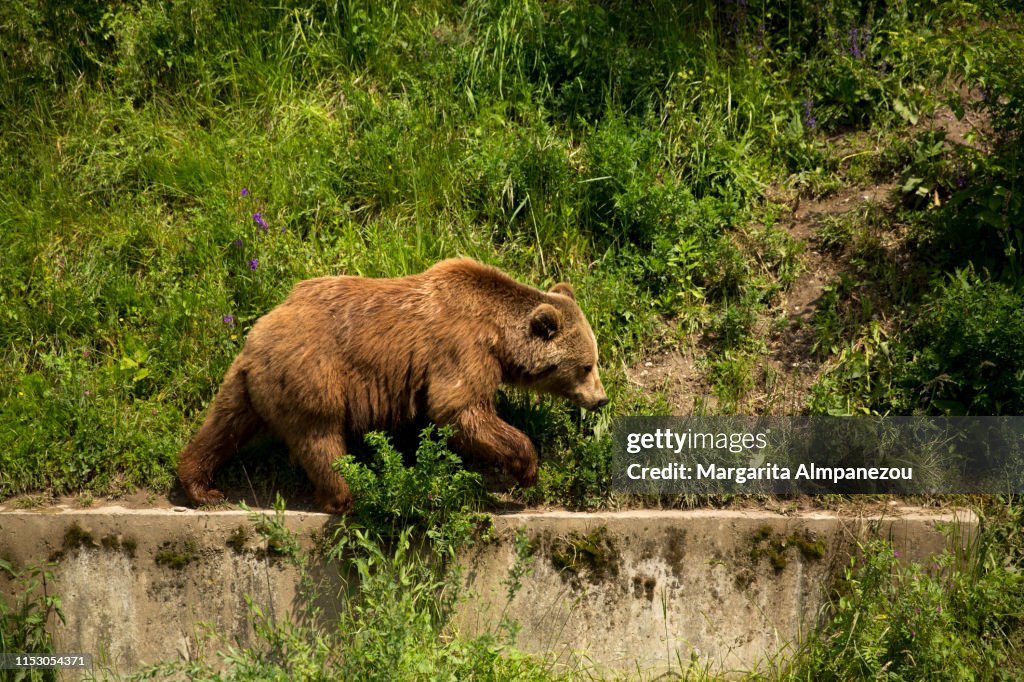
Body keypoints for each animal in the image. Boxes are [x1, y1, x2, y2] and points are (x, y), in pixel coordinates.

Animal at [178, 256, 606, 509]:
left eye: (596, 360)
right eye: (585, 366)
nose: (601, 400)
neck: (498, 334)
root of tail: (259, 334)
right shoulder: (460, 349)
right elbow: (458, 408)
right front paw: (526, 469)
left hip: (246, 382)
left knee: (222, 426)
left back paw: (202, 485)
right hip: (313, 375)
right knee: (321, 439)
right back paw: (346, 494)